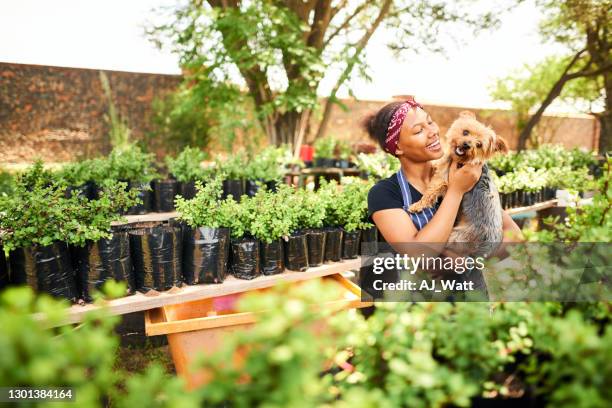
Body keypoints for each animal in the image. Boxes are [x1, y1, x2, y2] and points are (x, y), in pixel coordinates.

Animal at [412, 111, 506, 258]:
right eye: (465, 132)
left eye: (479, 145)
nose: (467, 145)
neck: (461, 160)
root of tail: (486, 250)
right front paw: (434, 163)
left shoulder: (443, 180)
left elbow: (430, 193)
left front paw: (417, 206)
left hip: (456, 237)